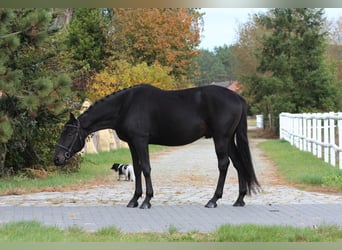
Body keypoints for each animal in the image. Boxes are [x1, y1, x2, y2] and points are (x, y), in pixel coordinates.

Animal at [54, 84, 260, 209]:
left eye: (70, 133)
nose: (57, 158)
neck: (125, 106)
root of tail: (238, 98)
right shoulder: (132, 143)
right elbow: (137, 169)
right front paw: (134, 200)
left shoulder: (140, 141)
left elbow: (146, 168)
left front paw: (146, 200)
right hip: (229, 139)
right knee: (239, 164)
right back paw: (239, 199)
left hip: (221, 138)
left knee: (224, 165)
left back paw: (213, 200)